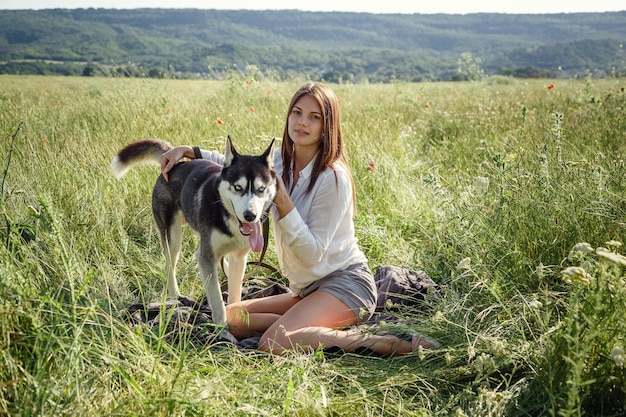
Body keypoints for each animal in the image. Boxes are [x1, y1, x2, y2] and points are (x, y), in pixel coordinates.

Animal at [111, 138, 276, 340]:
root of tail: (176, 164)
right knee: (169, 266)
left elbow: (234, 293)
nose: (250, 215)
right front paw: (222, 330)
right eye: (238, 187)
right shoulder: (206, 257)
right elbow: (216, 300)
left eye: (261, 189)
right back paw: (175, 297)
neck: (225, 212)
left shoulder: (239, 257)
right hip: (173, 238)